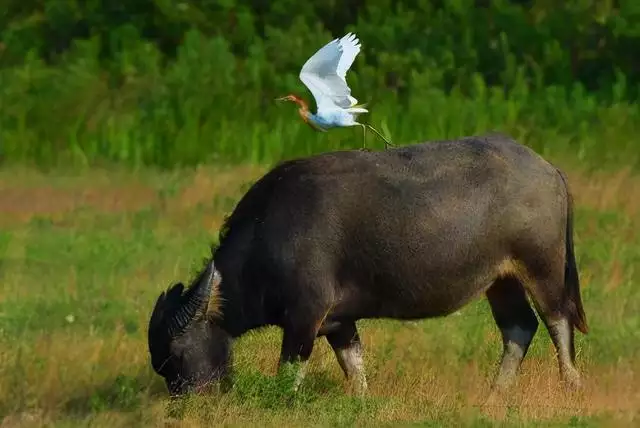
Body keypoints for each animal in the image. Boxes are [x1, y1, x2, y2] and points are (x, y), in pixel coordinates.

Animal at [148, 134, 588, 398]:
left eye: (176, 355)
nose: (185, 401)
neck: (267, 236)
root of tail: (550, 170)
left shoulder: (304, 317)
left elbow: (289, 374)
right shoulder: (339, 322)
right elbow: (354, 366)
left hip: (542, 268)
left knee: (558, 320)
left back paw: (571, 384)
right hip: (501, 280)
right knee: (519, 327)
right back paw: (495, 393)